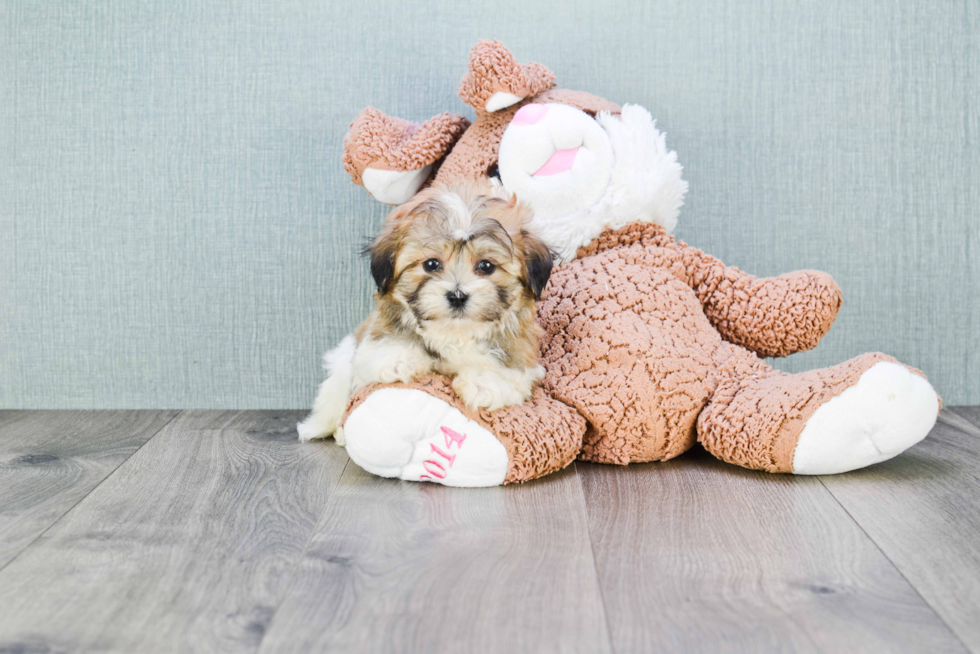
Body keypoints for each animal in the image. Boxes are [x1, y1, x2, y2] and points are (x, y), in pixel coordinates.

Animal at [294, 179, 552, 446]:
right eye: (431, 264)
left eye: (486, 266)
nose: (457, 295)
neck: (454, 333)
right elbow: (385, 349)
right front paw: (400, 360)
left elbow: (509, 371)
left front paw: (484, 382)